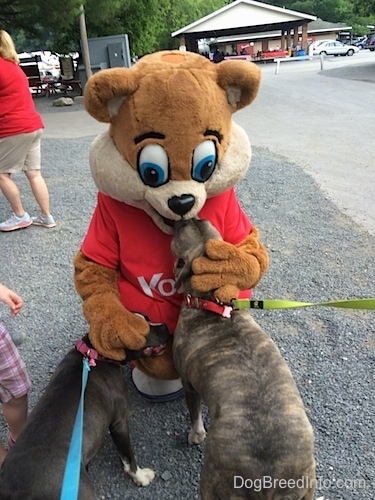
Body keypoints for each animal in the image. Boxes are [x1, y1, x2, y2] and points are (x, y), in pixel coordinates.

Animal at [172, 219, 316, 500]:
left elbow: (195, 416)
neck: (212, 303)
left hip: (212, 479)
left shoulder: (189, 383)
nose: (184, 218)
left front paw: (195, 435)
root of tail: (267, 480)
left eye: (182, 232)